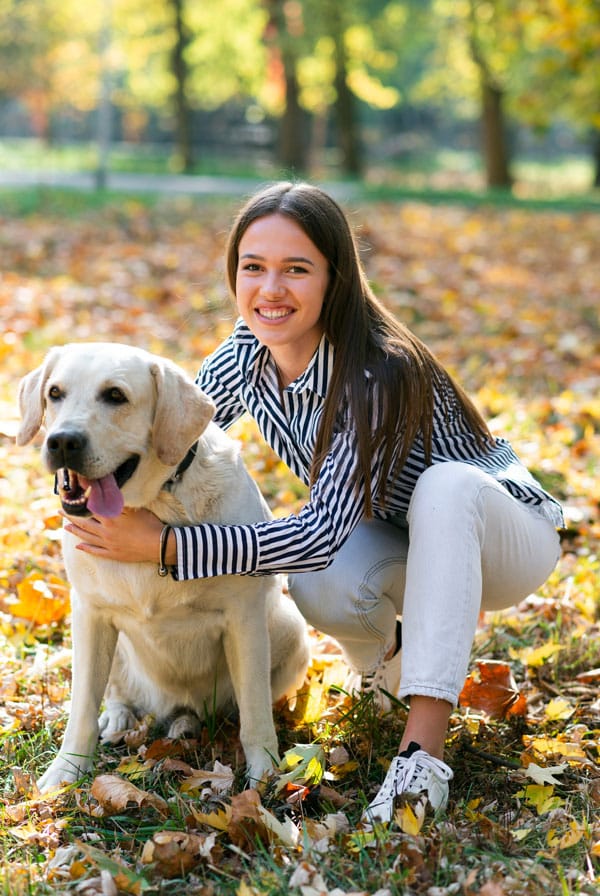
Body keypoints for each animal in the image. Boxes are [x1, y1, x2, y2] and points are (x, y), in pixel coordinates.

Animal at [17, 344, 310, 792]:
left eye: (115, 396)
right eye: (54, 393)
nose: (62, 441)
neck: (151, 506)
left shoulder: (244, 618)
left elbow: (255, 712)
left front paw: (265, 774)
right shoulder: (89, 611)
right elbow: (82, 706)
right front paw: (67, 770)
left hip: (291, 630)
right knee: (115, 693)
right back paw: (120, 717)